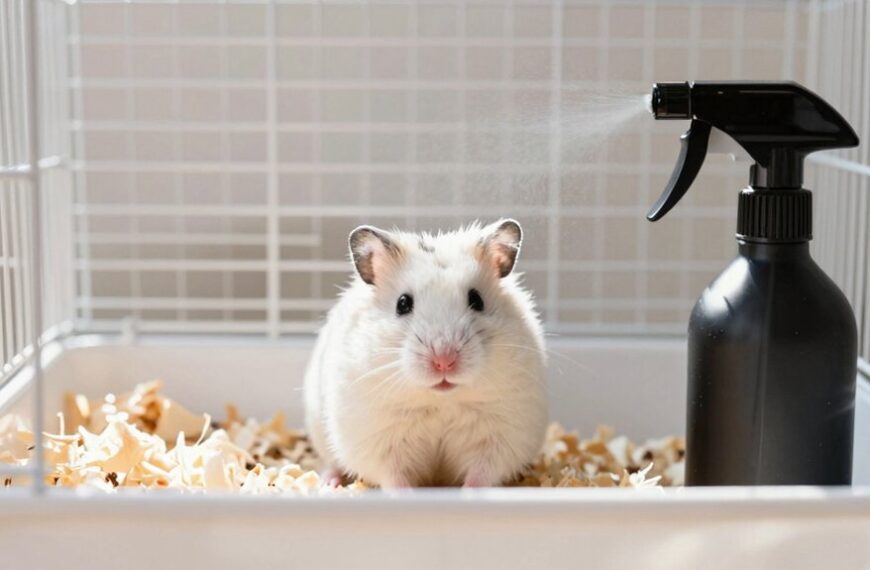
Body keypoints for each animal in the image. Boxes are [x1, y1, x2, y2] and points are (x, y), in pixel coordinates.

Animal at [304, 219, 547, 488]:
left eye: (476, 300)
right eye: (402, 303)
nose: (444, 361)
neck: (441, 400)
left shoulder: (499, 436)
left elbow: (481, 474)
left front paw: (467, 493)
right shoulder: (380, 438)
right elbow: (395, 478)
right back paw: (329, 482)